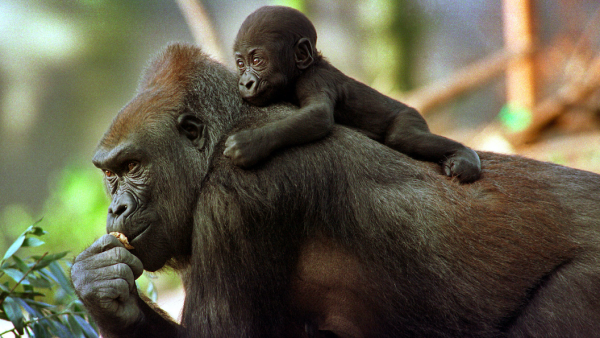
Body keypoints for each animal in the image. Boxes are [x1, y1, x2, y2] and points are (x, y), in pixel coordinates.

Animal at [71, 43, 600, 336]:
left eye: (133, 166)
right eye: (109, 174)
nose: (116, 208)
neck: (226, 134)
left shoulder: (237, 199)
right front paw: (104, 291)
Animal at [225, 5, 482, 182]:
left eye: (257, 61)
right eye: (240, 64)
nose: (245, 83)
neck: (304, 69)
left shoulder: (314, 79)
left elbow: (319, 115)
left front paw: (250, 143)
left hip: (410, 116)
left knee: (403, 137)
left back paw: (465, 155)